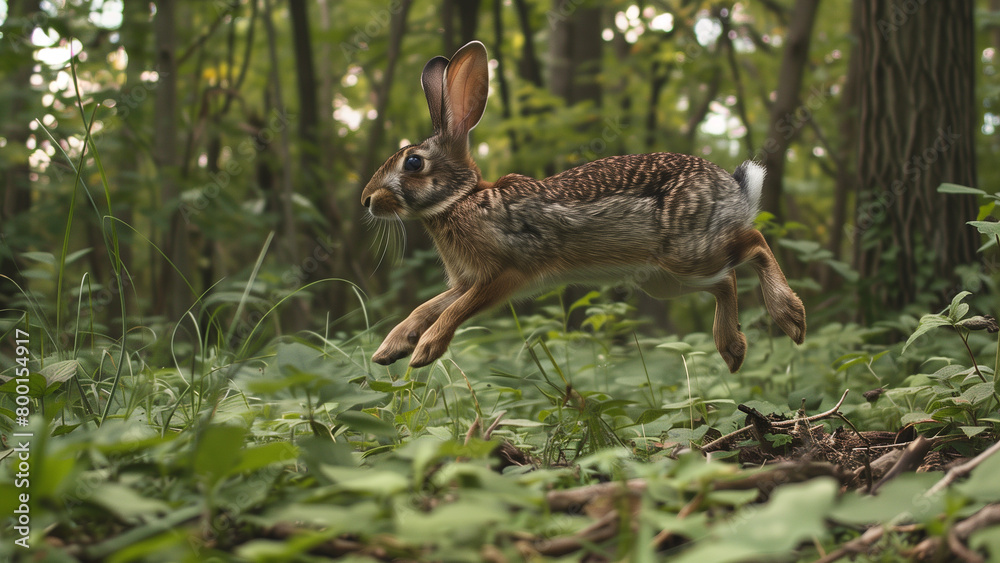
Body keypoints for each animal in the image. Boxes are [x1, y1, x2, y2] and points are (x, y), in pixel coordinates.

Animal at [361, 40, 806, 373]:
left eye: (413, 163)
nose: (367, 199)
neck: (463, 199)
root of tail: (734, 189)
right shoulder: (467, 280)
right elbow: (428, 307)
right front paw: (390, 348)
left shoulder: (506, 273)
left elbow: (454, 311)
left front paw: (425, 351)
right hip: (668, 280)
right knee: (726, 281)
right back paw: (732, 349)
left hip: (688, 251)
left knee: (755, 241)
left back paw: (790, 317)